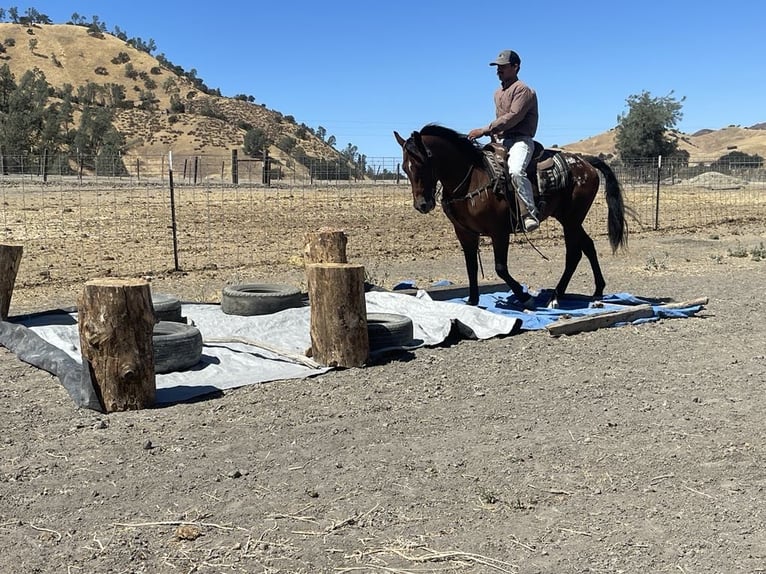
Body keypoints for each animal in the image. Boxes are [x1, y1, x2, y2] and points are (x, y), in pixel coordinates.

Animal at [394, 124, 627, 308]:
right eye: (405, 167)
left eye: (422, 163)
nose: (422, 205)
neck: (472, 179)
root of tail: (585, 163)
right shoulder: (465, 233)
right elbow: (471, 266)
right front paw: (472, 301)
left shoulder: (499, 232)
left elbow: (501, 268)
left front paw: (525, 297)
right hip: (569, 219)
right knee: (587, 246)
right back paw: (596, 291)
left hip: (571, 220)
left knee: (574, 254)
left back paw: (555, 296)